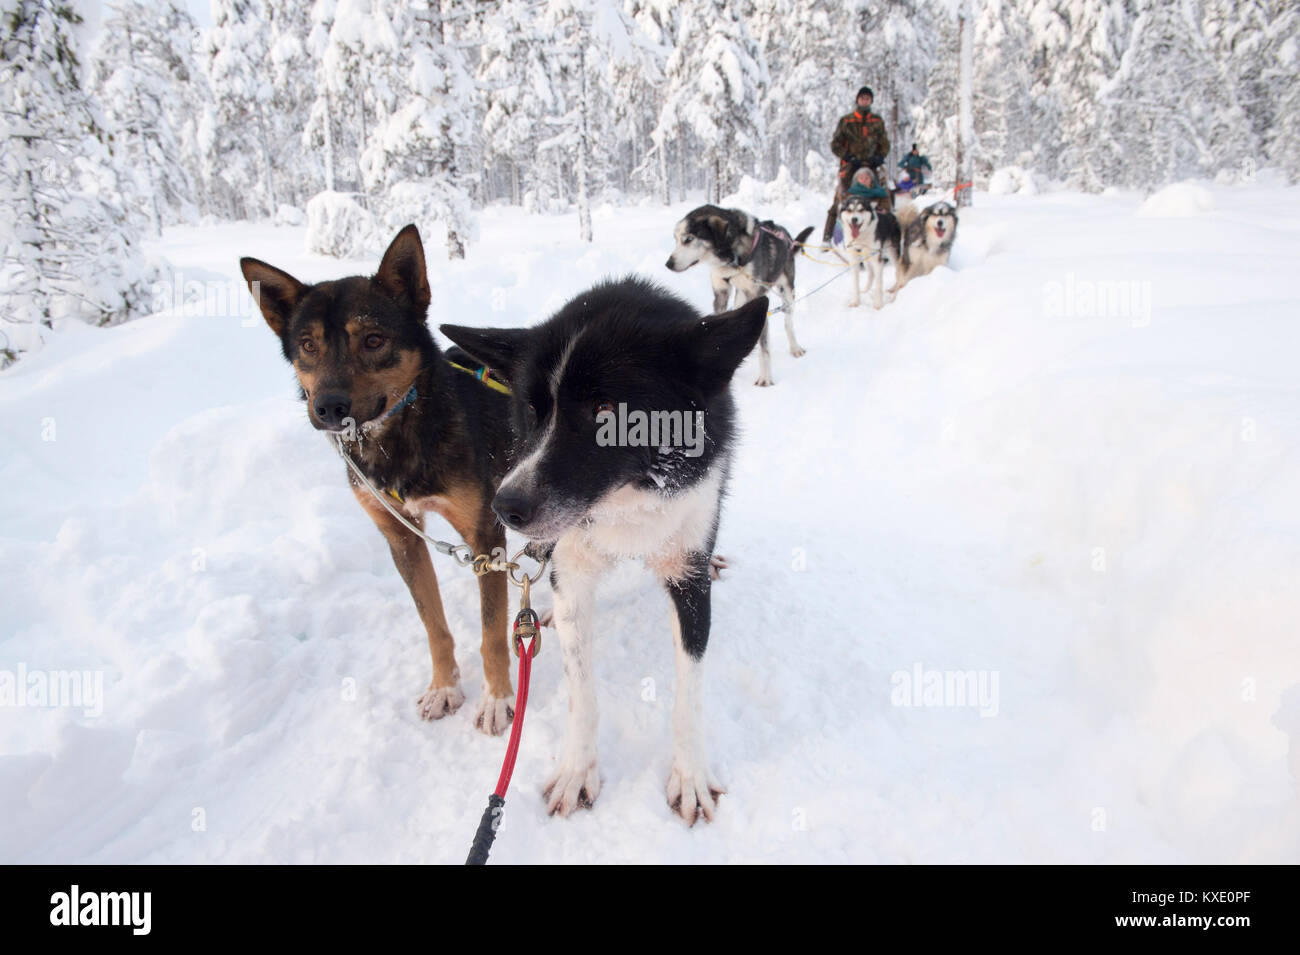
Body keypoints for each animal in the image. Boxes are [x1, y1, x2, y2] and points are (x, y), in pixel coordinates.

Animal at [239, 227, 517, 738]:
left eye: (373, 339)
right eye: (307, 345)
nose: (329, 406)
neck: (402, 434)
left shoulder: (484, 536)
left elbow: (491, 632)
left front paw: (497, 700)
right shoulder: (402, 538)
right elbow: (433, 624)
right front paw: (444, 687)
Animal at [441, 280, 764, 826]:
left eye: (606, 410)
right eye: (533, 410)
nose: (506, 507)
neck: (627, 500)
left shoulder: (687, 577)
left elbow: (688, 694)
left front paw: (690, 777)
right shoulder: (573, 569)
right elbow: (581, 691)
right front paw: (577, 771)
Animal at [670, 206, 811, 389]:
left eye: (688, 239)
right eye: (675, 239)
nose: (668, 263)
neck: (732, 258)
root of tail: (787, 236)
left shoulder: (757, 297)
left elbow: (764, 347)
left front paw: (765, 378)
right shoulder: (720, 294)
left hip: (786, 292)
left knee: (788, 322)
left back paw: (795, 347)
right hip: (741, 299)